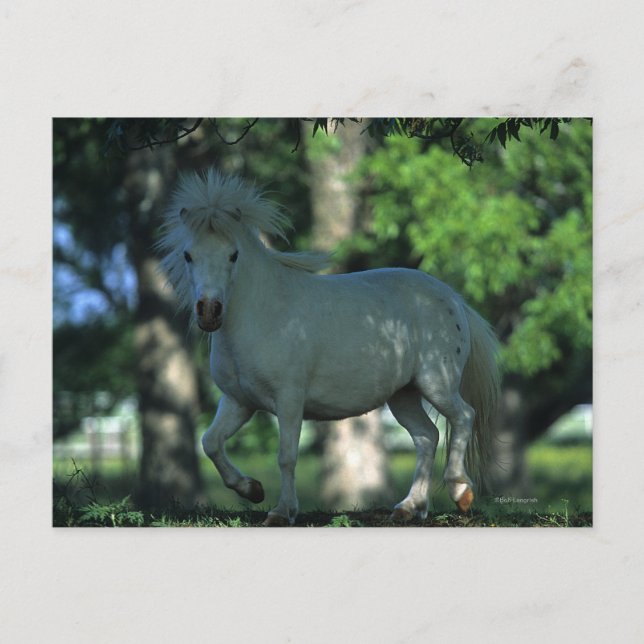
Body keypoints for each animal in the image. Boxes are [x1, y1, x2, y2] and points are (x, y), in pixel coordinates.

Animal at [158, 168, 501, 526]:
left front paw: (282, 512)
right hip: (403, 395)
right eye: (188, 255)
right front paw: (252, 490)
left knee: (463, 417)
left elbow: (286, 456)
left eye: (233, 255)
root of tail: (453, 298)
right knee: (427, 436)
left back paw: (460, 492)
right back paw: (409, 507)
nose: (209, 311)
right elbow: (210, 442)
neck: (263, 312)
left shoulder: (289, 399)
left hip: (437, 383)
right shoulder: (239, 401)